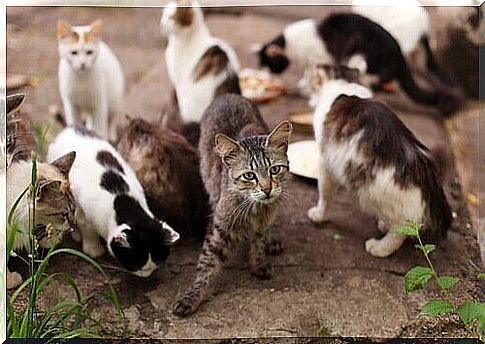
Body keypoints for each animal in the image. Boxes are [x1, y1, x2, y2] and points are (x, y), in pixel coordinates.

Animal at [46, 126, 180, 276]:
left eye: (156, 263)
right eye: (136, 265)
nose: (147, 275)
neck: (123, 202)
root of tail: (70, 128)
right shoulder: (83, 210)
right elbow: (86, 227)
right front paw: (93, 249)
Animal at [173, 94, 292, 318]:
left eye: (274, 170)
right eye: (249, 176)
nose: (267, 189)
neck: (255, 209)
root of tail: (227, 95)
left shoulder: (265, 220)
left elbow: (259, 241)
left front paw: (258, 262)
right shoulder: (219, 229)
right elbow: (206, 265)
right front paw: (193, 296)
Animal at [260, 13, 464, 117]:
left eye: (270, 65)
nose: (267, 77)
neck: (291, 44)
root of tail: (400, 59)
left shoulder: (321, 58)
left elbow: (313, 74)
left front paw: (309, 92)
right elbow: (308, 75)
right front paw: (304, 86)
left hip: (361, 56)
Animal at [308, 64, 452, 258]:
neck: (347, 83)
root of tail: (428, 174)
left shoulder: (325, 161)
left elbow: (324, 195)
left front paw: (319, 215)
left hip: (372, 194)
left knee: (401, 230)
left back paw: (380, 247)